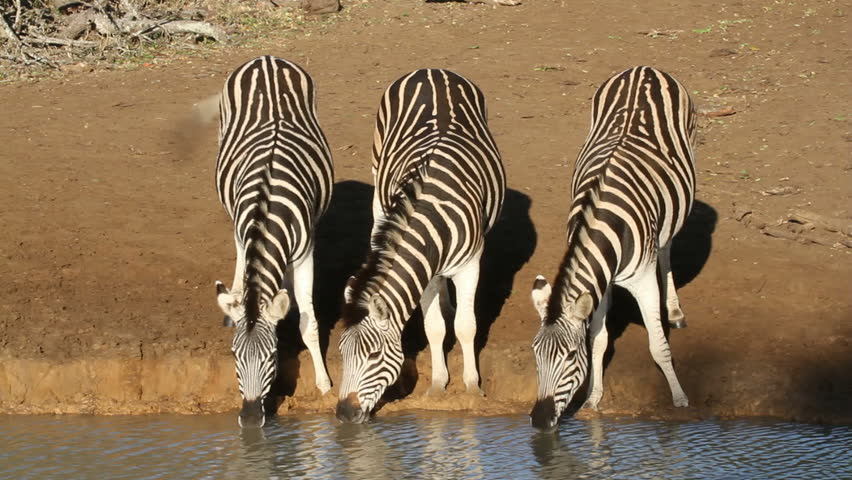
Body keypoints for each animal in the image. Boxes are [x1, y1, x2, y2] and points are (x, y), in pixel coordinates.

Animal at [212, 56, 334, 428]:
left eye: (272, 356)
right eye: (234, 356)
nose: (251, 419)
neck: (267, 207)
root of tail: (266, 58)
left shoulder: (305, 252)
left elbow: (309, 322)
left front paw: (324, 383)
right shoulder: (244, 231)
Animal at [335, 69, 506, 423]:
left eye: (374, 355)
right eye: (342, 353)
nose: (343, 414)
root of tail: (433, 70)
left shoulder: (471, 264)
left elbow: (466, 326)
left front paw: (472, 387)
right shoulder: (423, 271)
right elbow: (434, 328)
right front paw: (438, 385)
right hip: (378, 184)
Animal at [529, 66, 696, 431]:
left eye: (569, 357)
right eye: (535, 354)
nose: (539, 420)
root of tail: (644, 68)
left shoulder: (644, 280)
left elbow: (658, 345)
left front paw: (679, 398)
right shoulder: (599, 280)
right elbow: (598, 340)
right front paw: (593, 399)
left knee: (666, 248)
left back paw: (675, 310)